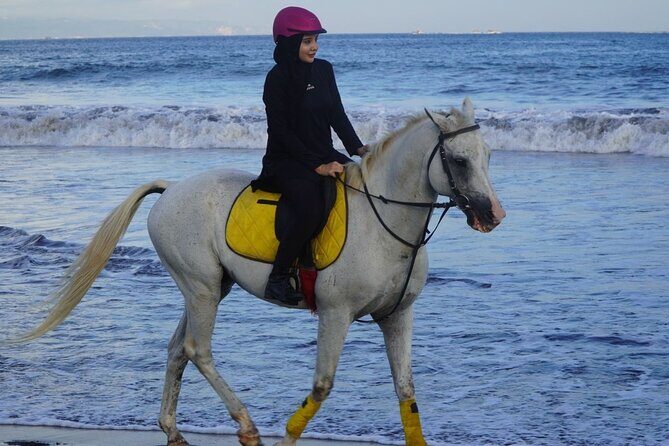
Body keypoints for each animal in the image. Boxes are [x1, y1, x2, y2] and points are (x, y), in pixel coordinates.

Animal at [12, 98, 505, 446]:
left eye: (487, 155)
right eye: (459, 160)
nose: (493, 215)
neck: (382, 221)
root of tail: (170, 190)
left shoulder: (397, 316)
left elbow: (407, 394)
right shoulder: (336, 313)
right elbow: (322, 386)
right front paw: (286, 434)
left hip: (207, 287)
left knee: (176, 350)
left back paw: (173, 430)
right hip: (202, 288)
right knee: (197, 350)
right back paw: (246, 426)